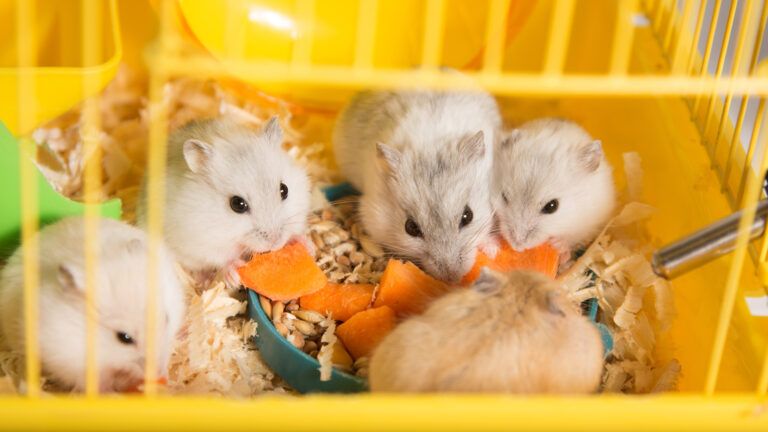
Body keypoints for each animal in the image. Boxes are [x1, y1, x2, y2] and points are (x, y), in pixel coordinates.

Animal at [136, 115, 310, 276]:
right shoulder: (204, 242)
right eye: (237, 204)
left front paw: (306, 243)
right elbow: (223, 258)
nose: (275, 242)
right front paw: (234, 273)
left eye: (284, 190)